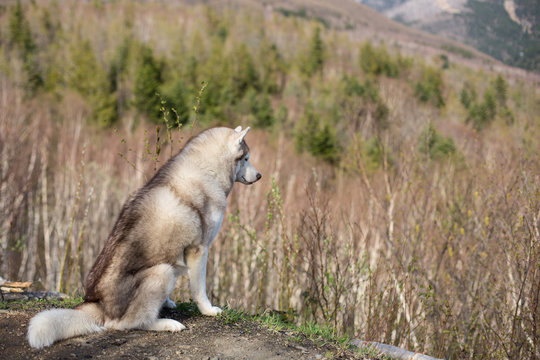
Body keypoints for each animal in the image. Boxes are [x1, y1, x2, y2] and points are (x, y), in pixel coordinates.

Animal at [29, 126, 262, 348]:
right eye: (247, 158)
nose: (259, 176)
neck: (207, 170)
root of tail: (97, 303)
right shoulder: (199, 250)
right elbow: (199, 290)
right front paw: (209, 310)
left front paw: (167, 302)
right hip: (162, 271)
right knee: (128, 323)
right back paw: (166, 324)